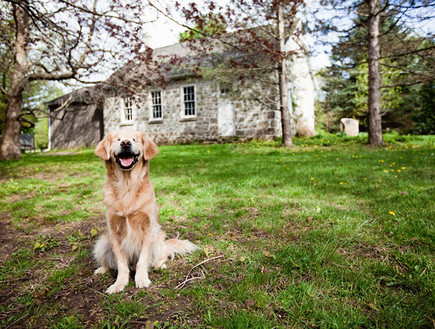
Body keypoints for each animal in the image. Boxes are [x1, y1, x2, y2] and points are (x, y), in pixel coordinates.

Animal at [94, 127, 198, 292]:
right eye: (118, 139)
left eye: (134, 139)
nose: (125, 143)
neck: (127, 185)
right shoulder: (114, 231)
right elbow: (121, 264)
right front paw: (119, 284)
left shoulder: (148, 228)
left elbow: (142, 261)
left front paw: (142, 279)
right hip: (103, 243)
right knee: (111, 263)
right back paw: (102, 269)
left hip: (158, 238)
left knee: (161, 256)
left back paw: (160, 265)